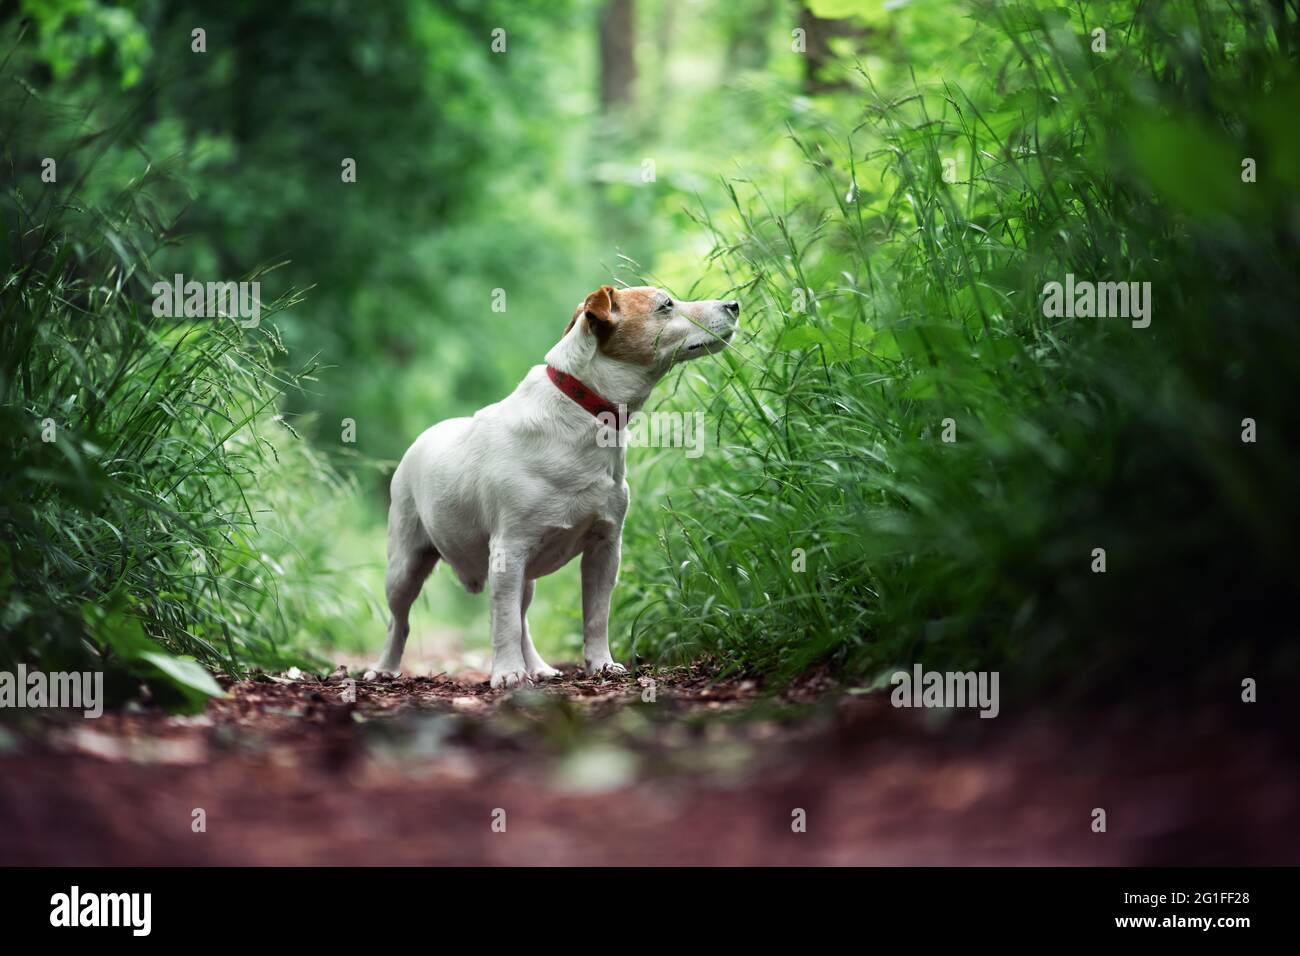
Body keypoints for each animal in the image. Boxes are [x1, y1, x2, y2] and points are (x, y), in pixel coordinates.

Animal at [374, 283, 743, 686]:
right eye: (666, 305)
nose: (734, 304)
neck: (586, 414)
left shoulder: (605, 547)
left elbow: (595, 616)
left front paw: (601, 664)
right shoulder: (508, 549)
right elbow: (503, 623)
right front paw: (508, 673)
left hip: (524, 577)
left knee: (522, 619)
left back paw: (537, 666)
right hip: (405, 565)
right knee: (400, 622)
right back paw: (385, 669)